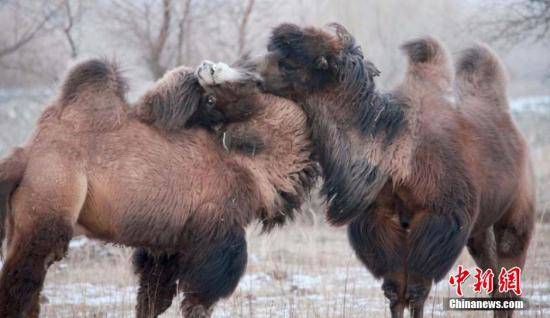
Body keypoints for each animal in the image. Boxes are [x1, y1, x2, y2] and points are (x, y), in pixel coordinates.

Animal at [0, 59, 316, 316]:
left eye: (251, 81)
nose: (207, 66)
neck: (254, 169)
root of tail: (25, 155)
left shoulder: (171, 244)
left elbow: (152, 298)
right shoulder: (217, 232)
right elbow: (199, 299)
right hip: (50, 201)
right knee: (22, 281)